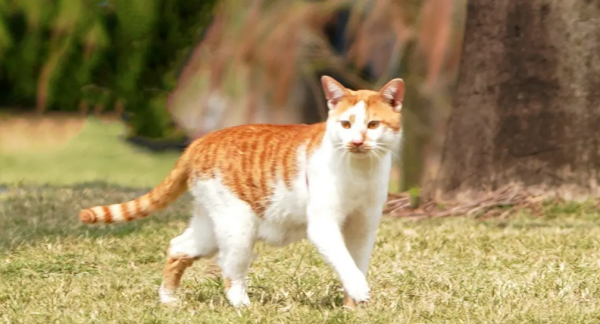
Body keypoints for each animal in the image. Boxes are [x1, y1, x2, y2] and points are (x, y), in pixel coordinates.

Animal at [78, 74, 404, 308]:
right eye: (346, 124)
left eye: (373, 125)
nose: (357, 141)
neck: (360, 171)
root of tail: (199, 142)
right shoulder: (323, 225)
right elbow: (344, 261)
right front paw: (359, 291)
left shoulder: (364, 225)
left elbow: (356, 262)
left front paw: (353, 307)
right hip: (238, 225)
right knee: (230, 273)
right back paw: (243, 307)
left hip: (211, 226)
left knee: (178, 246)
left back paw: (168, 299)